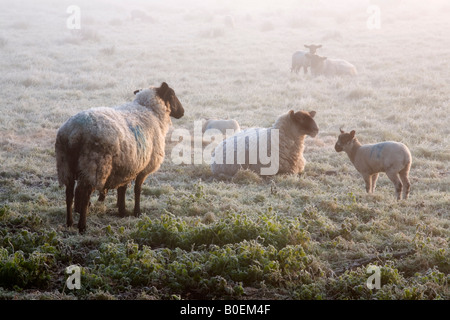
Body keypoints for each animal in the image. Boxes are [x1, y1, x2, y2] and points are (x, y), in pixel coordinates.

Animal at [55, 82, 185, 232]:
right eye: (172, 94)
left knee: (69, 193)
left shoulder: (127, 166)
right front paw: (136, 212)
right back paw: (82, 226)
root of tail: (74, 132)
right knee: (85, 194)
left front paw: (121, 210)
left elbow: (122, 189)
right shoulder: (143, 168)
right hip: (94, 167)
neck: (151, 111)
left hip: (65, 166)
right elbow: (137, 190)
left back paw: (69, 222)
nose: (182, 112)